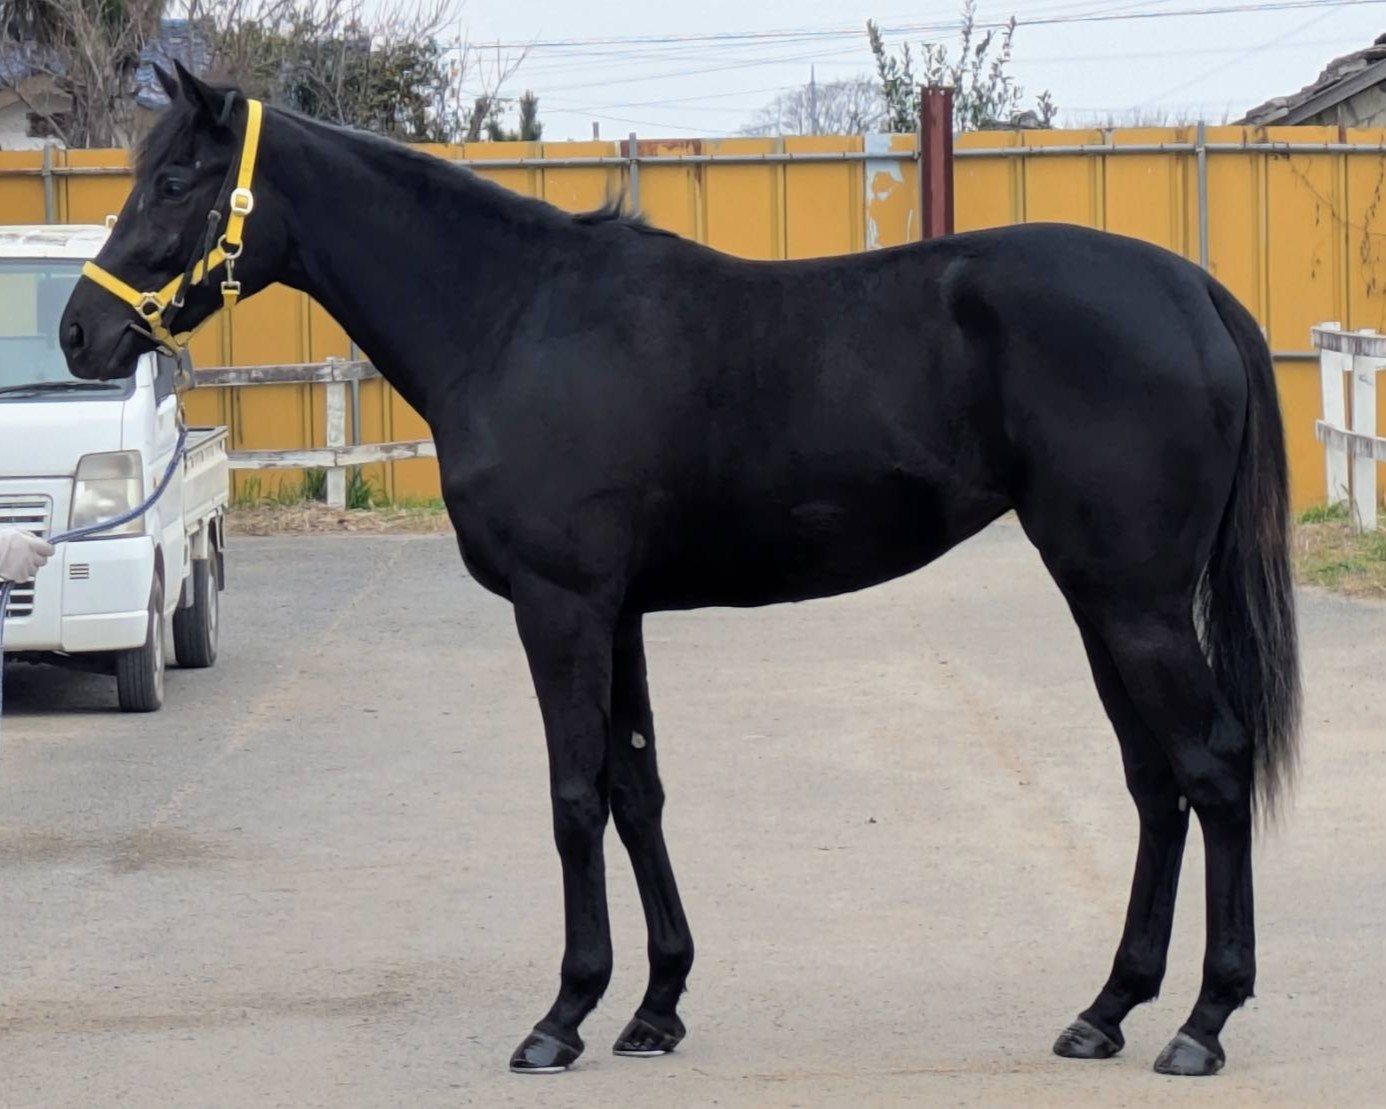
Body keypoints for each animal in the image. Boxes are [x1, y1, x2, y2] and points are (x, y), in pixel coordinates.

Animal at [60, 62, 1300, 1079]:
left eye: (174, 179)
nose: (79, 335)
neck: (512, 318)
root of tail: (1191, 290)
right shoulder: (618, 615)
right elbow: (636, 788)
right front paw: (655, 1004)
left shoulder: (561, 609)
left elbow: (572, 795)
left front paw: (562, 1014)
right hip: (1100, 600)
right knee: (1154, 780)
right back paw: (1109, 1007)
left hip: (1136, 603)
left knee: (1213, 764)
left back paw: (1204, 1021)